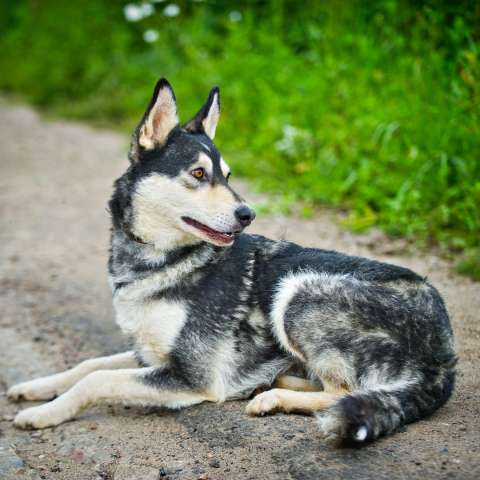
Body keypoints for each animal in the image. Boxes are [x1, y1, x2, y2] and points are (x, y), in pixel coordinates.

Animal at [7, 77, 458, 444]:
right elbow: (88, 365)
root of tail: (444, 359)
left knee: (346, 392)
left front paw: (43, 413)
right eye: (199, 174)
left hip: (297, 292)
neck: (161, 261)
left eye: (226, 175)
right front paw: (37, 388)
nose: (248, 214)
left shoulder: (191, 377)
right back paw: (276, 381)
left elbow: (98, 380)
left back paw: (274, 397)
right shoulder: (150, 356)